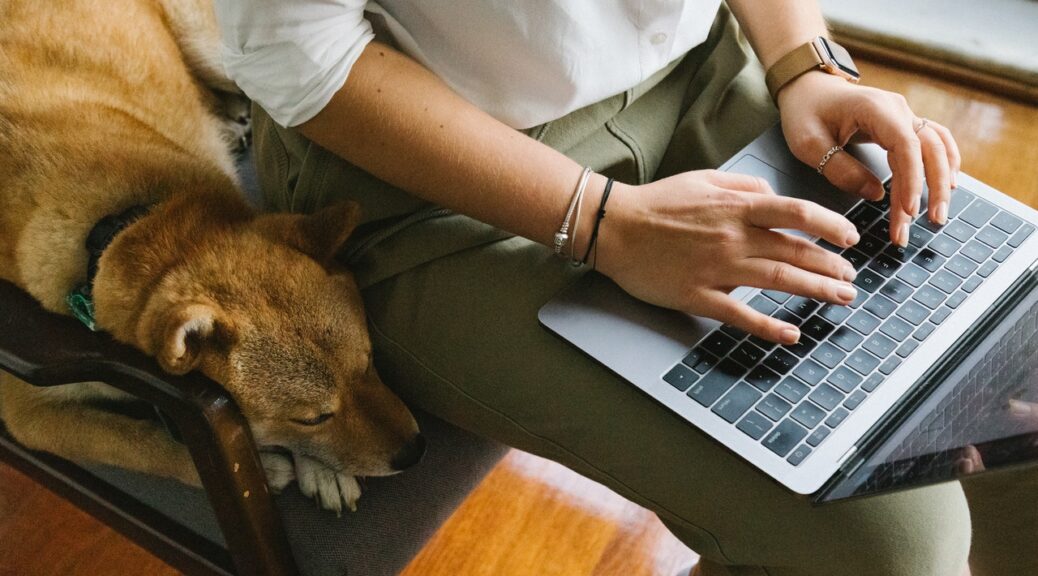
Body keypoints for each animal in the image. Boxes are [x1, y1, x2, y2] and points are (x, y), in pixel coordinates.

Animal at [0, 0, 423, 514]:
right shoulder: (24, 414)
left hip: (221, 53)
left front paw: (321, 471)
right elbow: (132, 442)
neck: (122, 223)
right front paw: (269, 468)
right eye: (312, 418)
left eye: (369, 363)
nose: (415, 451)